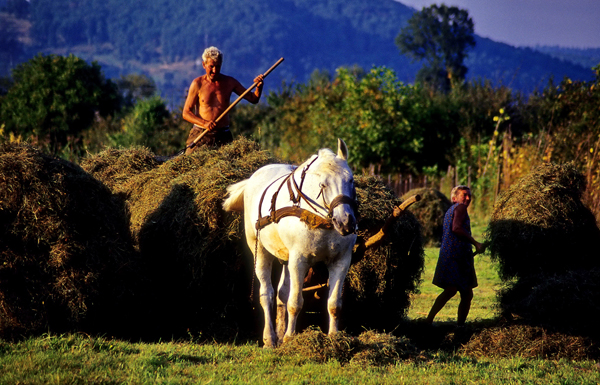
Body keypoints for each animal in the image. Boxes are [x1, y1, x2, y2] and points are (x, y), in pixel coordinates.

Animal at [224, 139, 356, 348]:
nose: (346, 222)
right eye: (323, 184)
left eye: (350, 180)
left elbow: (334, 304)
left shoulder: (341, 261)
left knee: (281, 294)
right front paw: (289, 338)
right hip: (261, 251)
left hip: (286, 259)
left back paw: (278, 333)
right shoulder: (299, 260)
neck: (320, 220)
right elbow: (295, 303)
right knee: (267, 294)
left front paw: (334, 338)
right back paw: (270, 338)